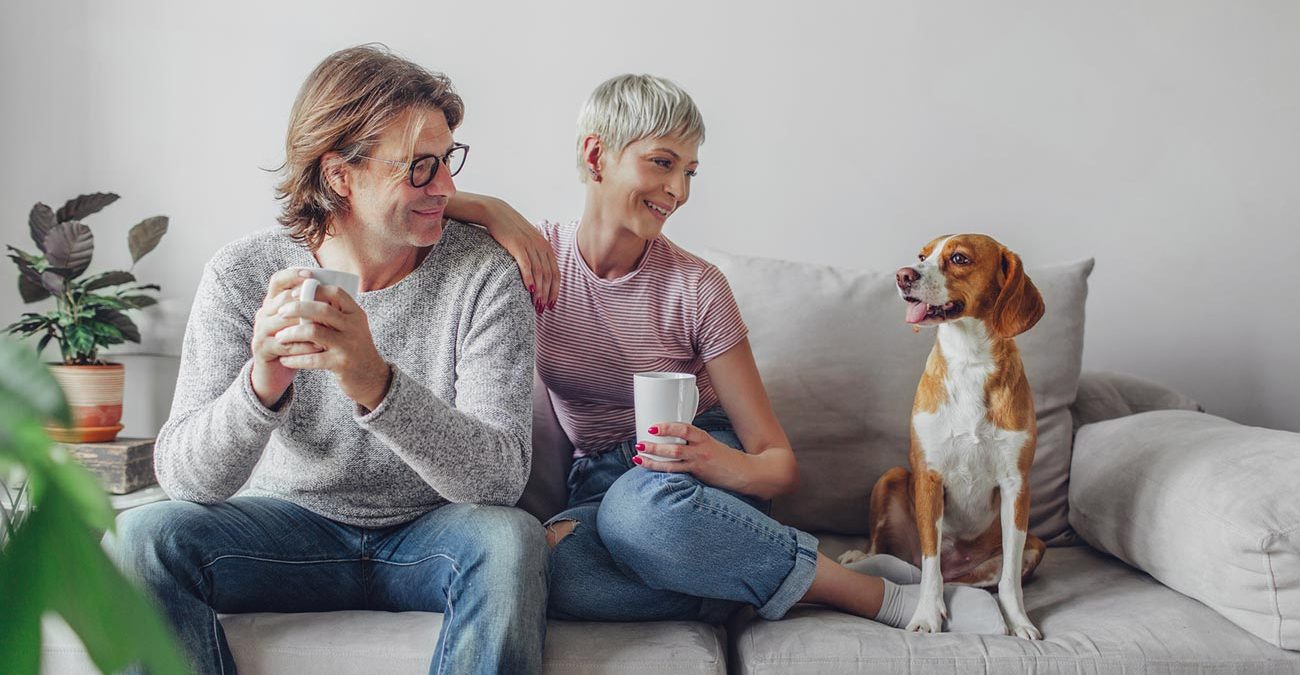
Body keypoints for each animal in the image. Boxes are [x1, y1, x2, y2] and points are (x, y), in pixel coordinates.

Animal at [842, 235, 1045, 642]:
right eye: (922, 255)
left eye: (959, 258)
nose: (903, 275)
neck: (970, 361)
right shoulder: (930, 478)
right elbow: (930, 566)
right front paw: (925, 616)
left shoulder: (1017, 486)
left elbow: (1010, 580)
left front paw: (1019, 621)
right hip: (891, 477)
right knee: (893, 554)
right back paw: (861, 556)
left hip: (1035, 545)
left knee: (976, 581)